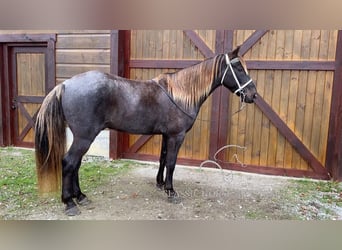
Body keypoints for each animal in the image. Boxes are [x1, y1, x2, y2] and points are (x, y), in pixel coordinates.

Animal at [34, 46, 256, 215]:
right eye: (237, 67)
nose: (253, 94)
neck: (179, 94)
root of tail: (65, 84)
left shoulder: (167, 136)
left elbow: (163, 159)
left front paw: (160, 184)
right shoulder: (176, 136)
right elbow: (172, 163)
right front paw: (171, 191)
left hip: (83, 137)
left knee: (76, 164)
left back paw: (80, 196)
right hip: (84, 137)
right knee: (69, 163)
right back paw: (69, 203)